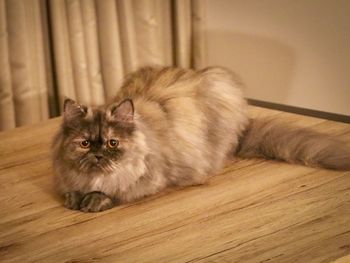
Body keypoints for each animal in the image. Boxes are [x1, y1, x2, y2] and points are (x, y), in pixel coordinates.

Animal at [52, 67, 350, 213]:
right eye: (85, 143)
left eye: (113, 143)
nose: (98, 155)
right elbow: (71, 189)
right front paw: (74, 198)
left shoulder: (148, 180)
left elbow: (113, 191)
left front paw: (93, 200)